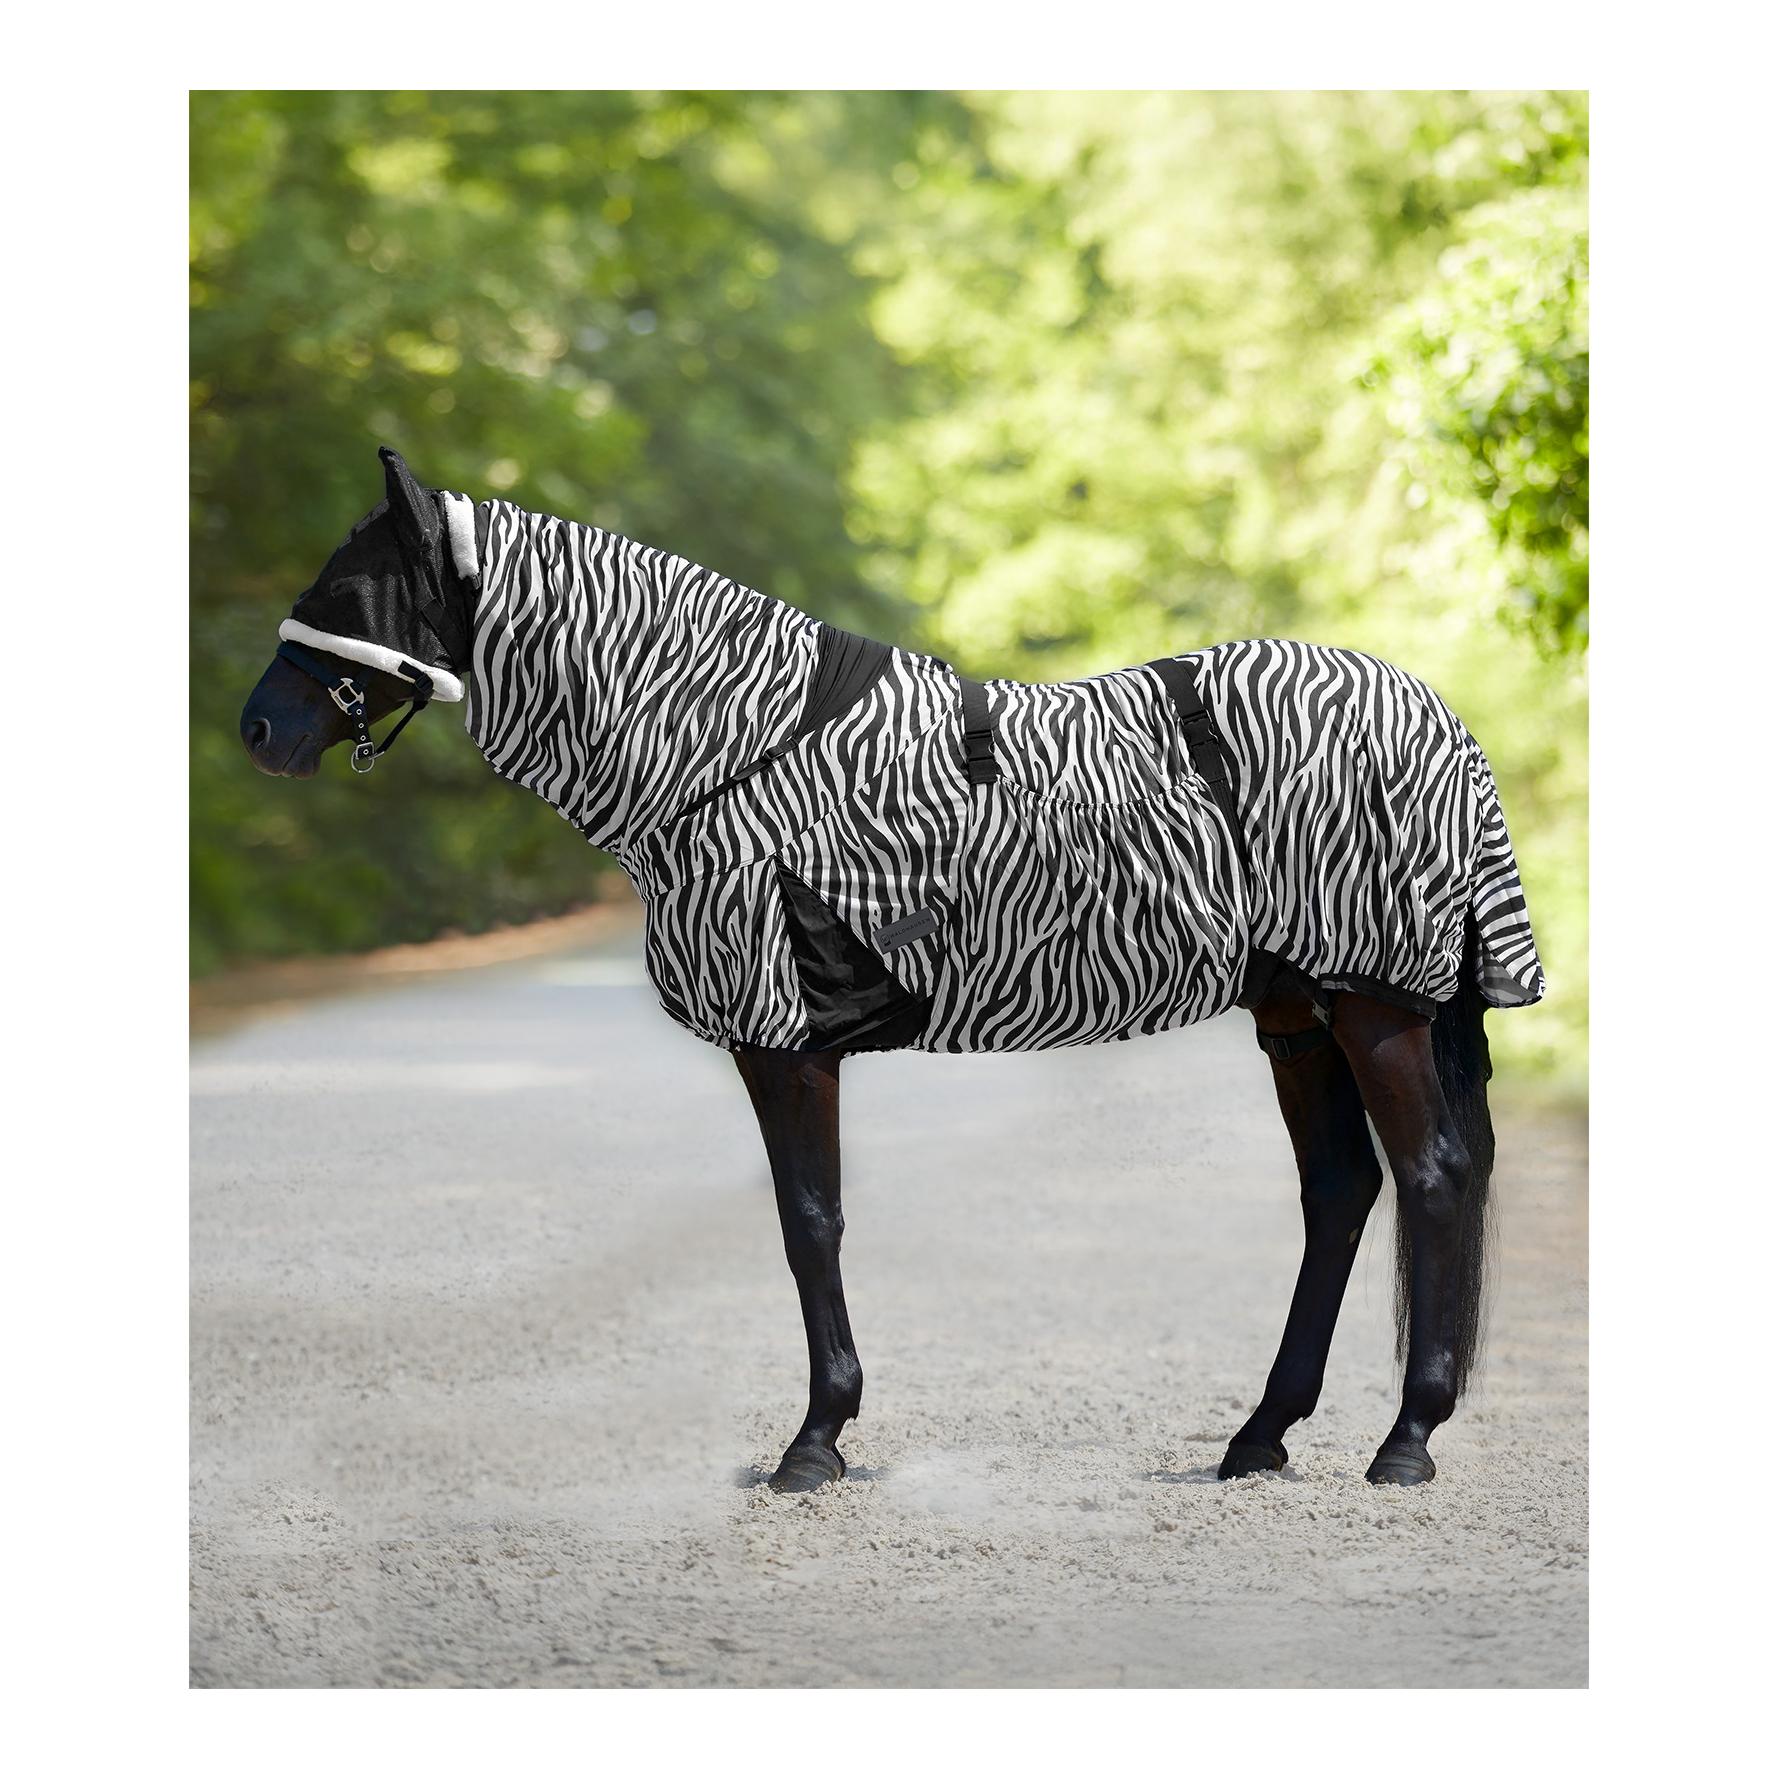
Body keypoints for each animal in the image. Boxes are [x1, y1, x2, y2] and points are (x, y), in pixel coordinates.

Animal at [241, 447, 1546, 1492]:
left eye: (347, 591)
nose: (258, 729)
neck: (728, 749)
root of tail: (1436, 716)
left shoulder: (781, 1036)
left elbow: (806, 1221)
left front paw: (813, 1442)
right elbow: (808, 1221)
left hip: (1371, 1004)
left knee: (1431, 1176)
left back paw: (1404, 1440)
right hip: (1296, 1012)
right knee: (1340, 1191)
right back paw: (1257, 1435)